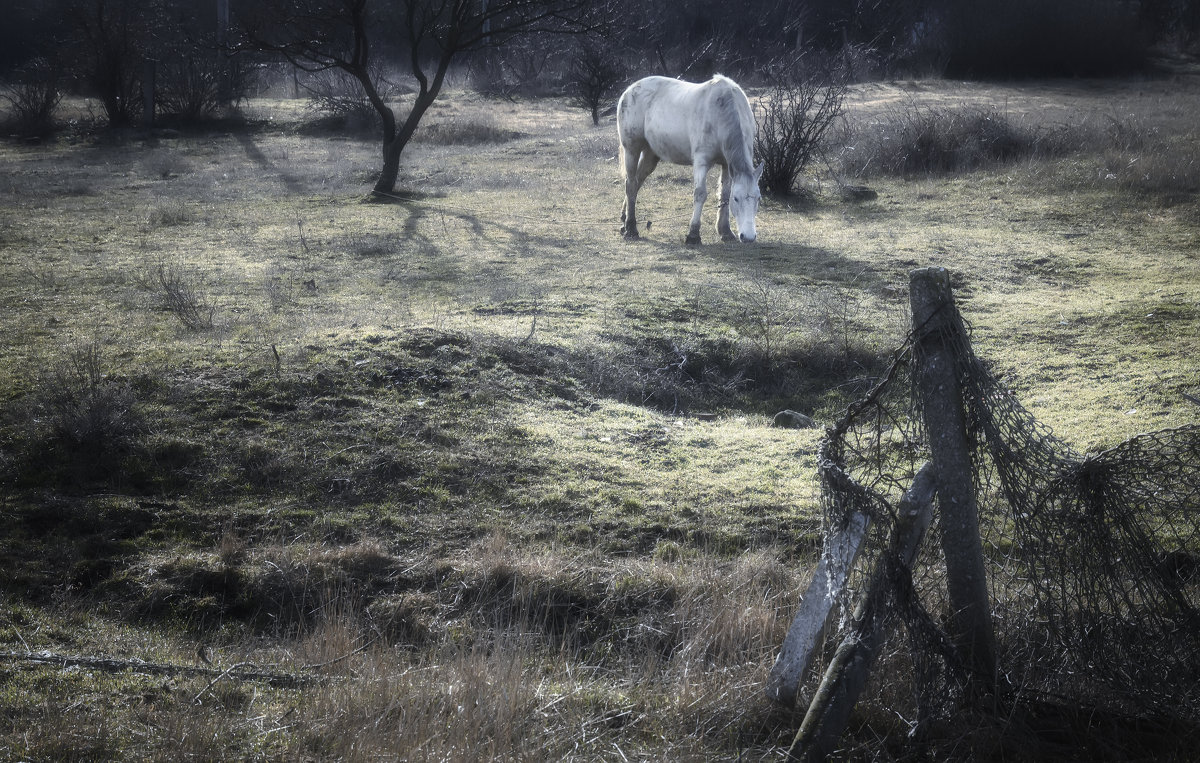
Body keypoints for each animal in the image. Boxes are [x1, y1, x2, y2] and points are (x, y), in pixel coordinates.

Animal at [614, 73, 763, 242]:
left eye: (758, 198)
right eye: (736, 198)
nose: (748, 237)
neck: (721, 110)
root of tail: (630, 89)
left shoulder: (726, 164)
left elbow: (724, 194)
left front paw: (725, 231)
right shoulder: (701, 162)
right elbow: (700, 194)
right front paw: (693, 234)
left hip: (650, 155)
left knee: (637, 182)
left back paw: (624, 219)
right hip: (632, 150)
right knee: (631, 184)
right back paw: (631, 228)